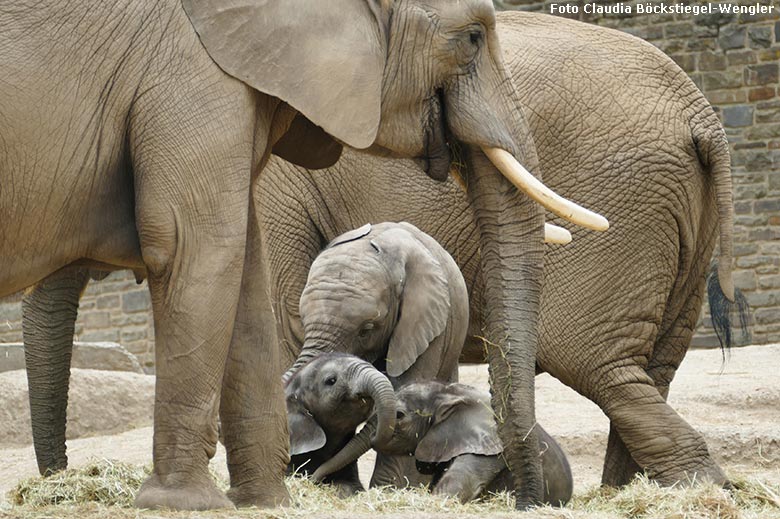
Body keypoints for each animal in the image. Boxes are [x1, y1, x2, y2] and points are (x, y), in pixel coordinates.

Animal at [258, 13, 748, 492]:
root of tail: (699, 112)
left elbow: (285, 322)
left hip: (625, 204)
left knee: (595, 362)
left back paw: (696, 487)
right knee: (655, 365)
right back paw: (634, 491)